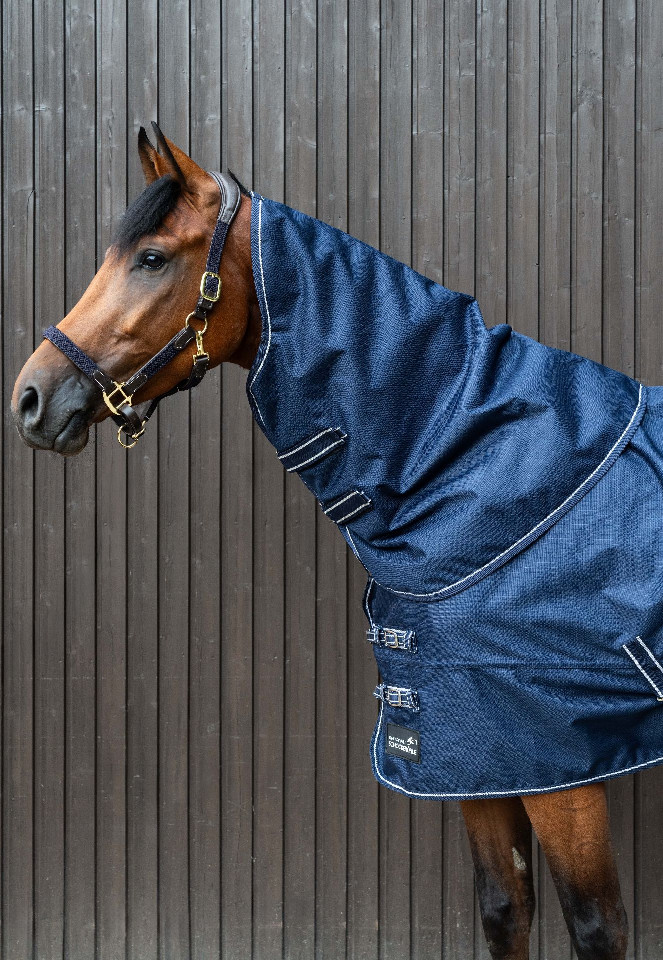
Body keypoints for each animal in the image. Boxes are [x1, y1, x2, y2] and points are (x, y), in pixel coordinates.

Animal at [11, 124, 630, 960]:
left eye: (152, 258)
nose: (30, 398)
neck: (493, 468)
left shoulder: (559, 764)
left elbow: (594, 925)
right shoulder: (467, 751)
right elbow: (505, 906)